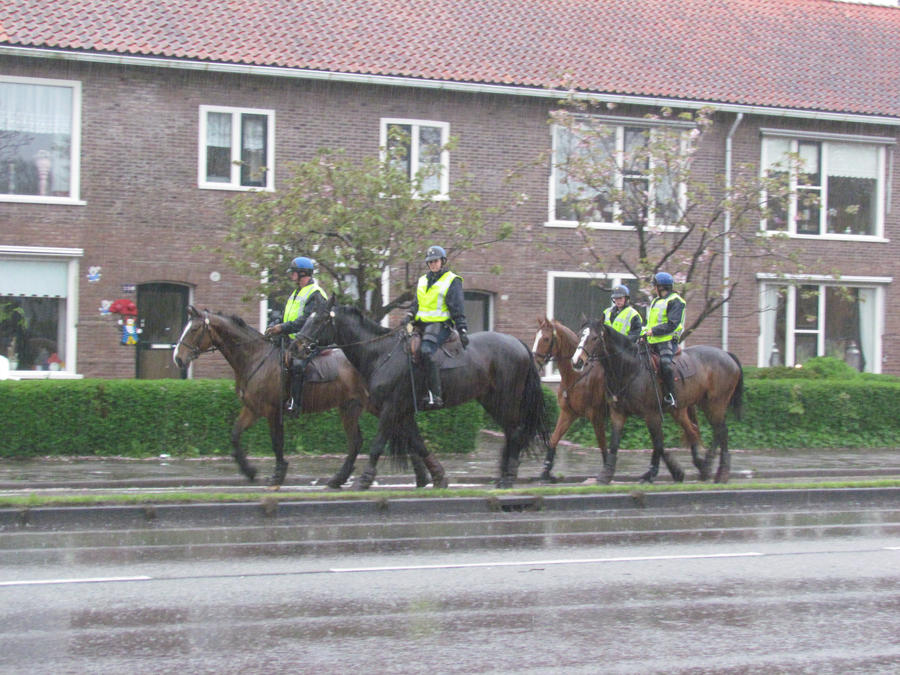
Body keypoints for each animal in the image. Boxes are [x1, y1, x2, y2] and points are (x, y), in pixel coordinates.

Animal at [173, 306, 432, 492]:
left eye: (194, 330)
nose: (178, 358)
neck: (256, 358)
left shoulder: (271, 410)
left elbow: (277, 442)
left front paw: (277, 475)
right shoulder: (252, 409)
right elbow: (235, 435)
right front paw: (249, 471)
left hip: (378, 405)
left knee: (399, 431)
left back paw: (420, 476)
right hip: (350, 407)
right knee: (359, 440)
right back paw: (342, 479)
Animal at [298, 298, 548, 488]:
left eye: (319, 320)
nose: (297, 347)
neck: (382, 353)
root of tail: (518, 343)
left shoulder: (391, 407)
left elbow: (378, 444)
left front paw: (365, 479)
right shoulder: (403, 411)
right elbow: (418, 444)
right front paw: (437, 477)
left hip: (506, 399)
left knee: (515, 432)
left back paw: (508, 477)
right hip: (491, 401)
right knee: (510, 432)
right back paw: (502, 474)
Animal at [532, 316, 608, 480]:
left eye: (546, 338)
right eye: (536, 336)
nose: (534, 363)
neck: (578, 375)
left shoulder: (596, 416)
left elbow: (602, 443)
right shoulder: (568, 413)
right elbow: (554, 438)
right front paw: (546, 471)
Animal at [572, 322, 740, 486]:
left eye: (594, 338)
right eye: (580, 335)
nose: (576, 361)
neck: (629, 368)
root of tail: (727, 355)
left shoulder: (652, 414)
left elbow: (658, 443)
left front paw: (651, 474)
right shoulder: (618, 413)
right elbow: (615, 443)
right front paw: (606, 475)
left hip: (715, 404)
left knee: (721, 431)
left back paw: (720, 471)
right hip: (688, 408)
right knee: (697, 431)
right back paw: (705, 467)